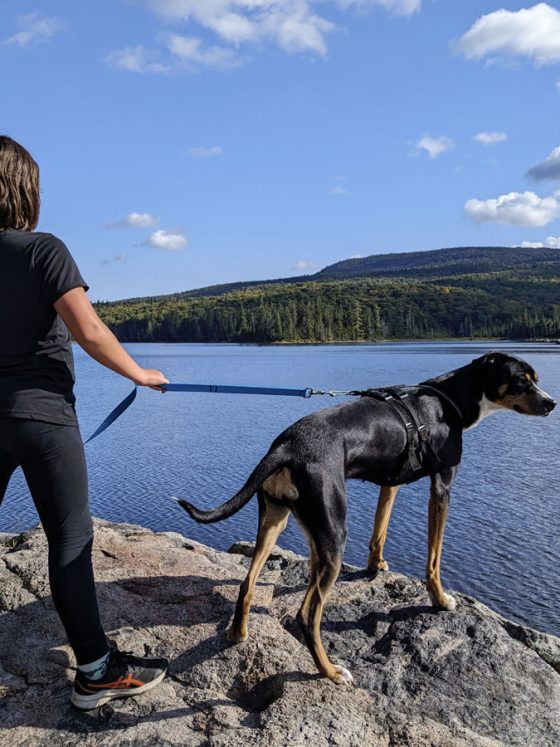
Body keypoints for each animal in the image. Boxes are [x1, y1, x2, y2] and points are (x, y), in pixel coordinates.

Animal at [176, 354, 556, 688]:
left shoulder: (390, 483)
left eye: (535, 378)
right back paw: (329, 671)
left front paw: (376, 566)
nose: (552, 403)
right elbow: (434, 558)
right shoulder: (442, 488)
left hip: (280, 521)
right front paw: (439, 599)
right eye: (521, 380)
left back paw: (237, 633)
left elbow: (380, 530)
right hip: (334, 533)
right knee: (307, 615)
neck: (449, 401)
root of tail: (285, 446)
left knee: (248, 584)